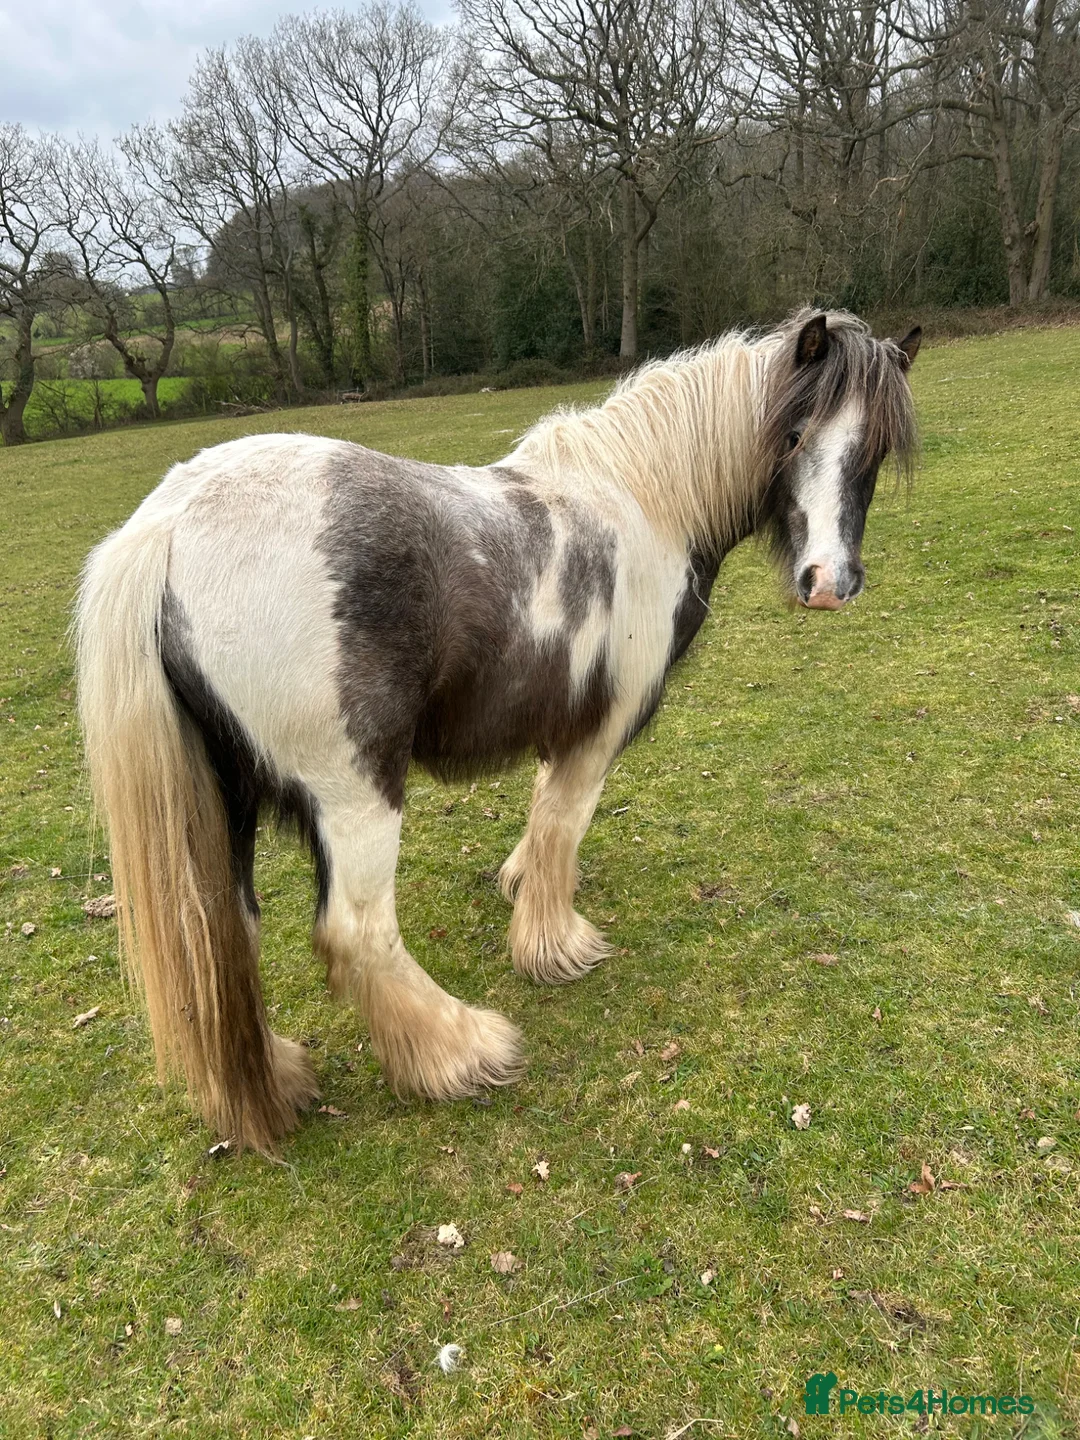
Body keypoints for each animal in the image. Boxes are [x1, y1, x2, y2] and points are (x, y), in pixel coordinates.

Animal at [76, 308, 920, 1155]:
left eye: (874, 449)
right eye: (794, 434)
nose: (829, 584)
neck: (642, 501)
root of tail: (169, 523)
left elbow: (543, 818)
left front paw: (520, 887)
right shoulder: (597, 731)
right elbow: (563, 825)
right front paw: (555, 945)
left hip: (227, 802)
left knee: (225, 936)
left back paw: (278, 1077)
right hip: (354, 794)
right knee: (357, 933)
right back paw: (460, 1051)